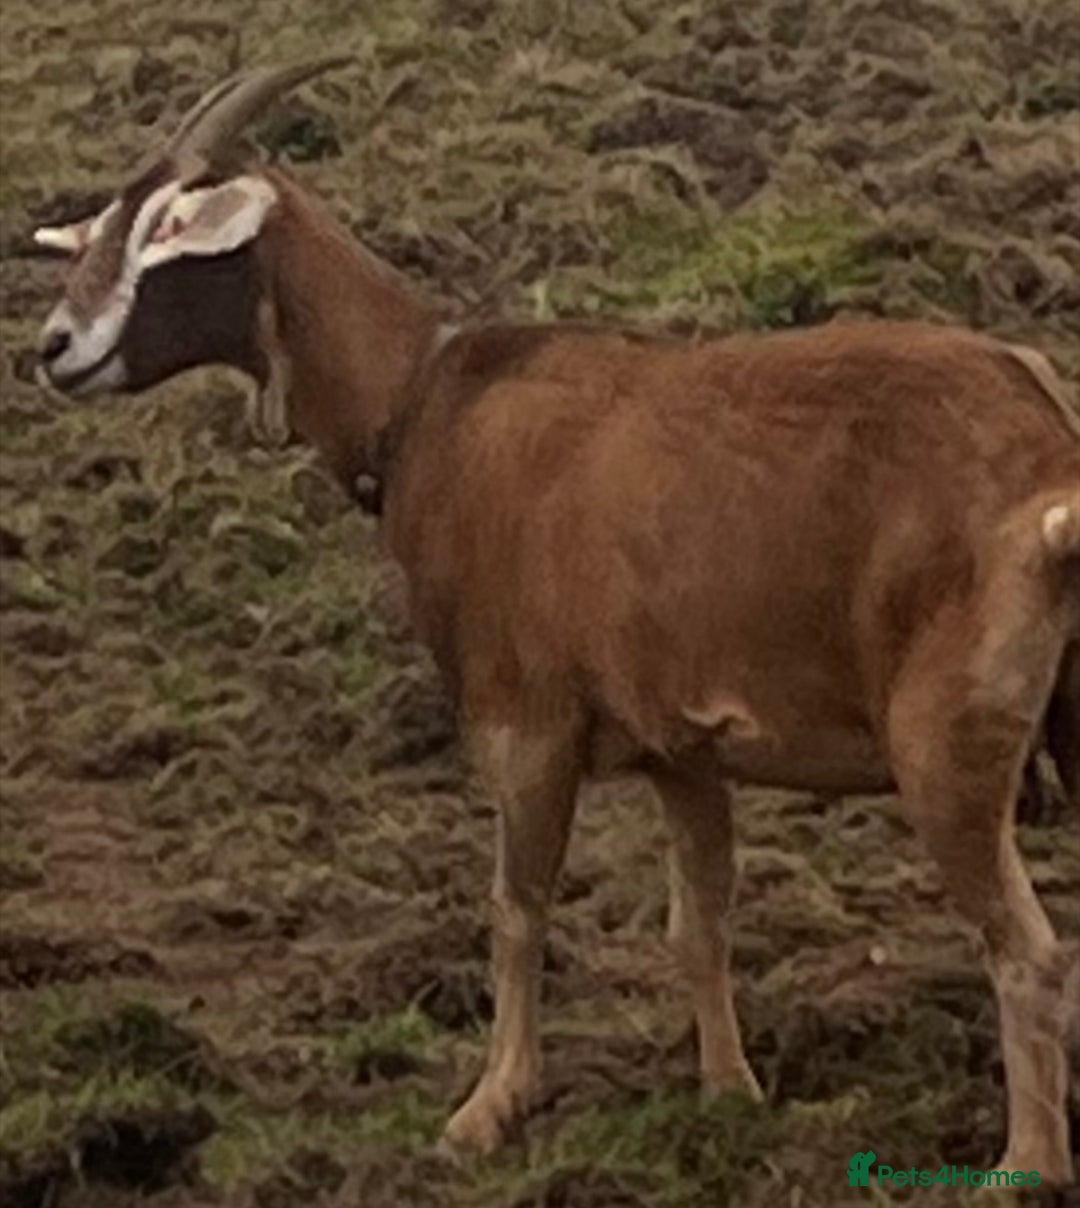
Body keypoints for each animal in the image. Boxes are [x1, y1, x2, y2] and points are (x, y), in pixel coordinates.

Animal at [33, 60, 1079, 1183]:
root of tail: (1047, 459)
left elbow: (516, 910)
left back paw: (1022, 1166)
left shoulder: (523, 717)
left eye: (165, 230)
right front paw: (728, 1094)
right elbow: (700, 919)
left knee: (1025, 948)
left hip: (947, 741)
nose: (53, 349)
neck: (423, 403)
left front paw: (487, 1109)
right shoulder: (684, 748)